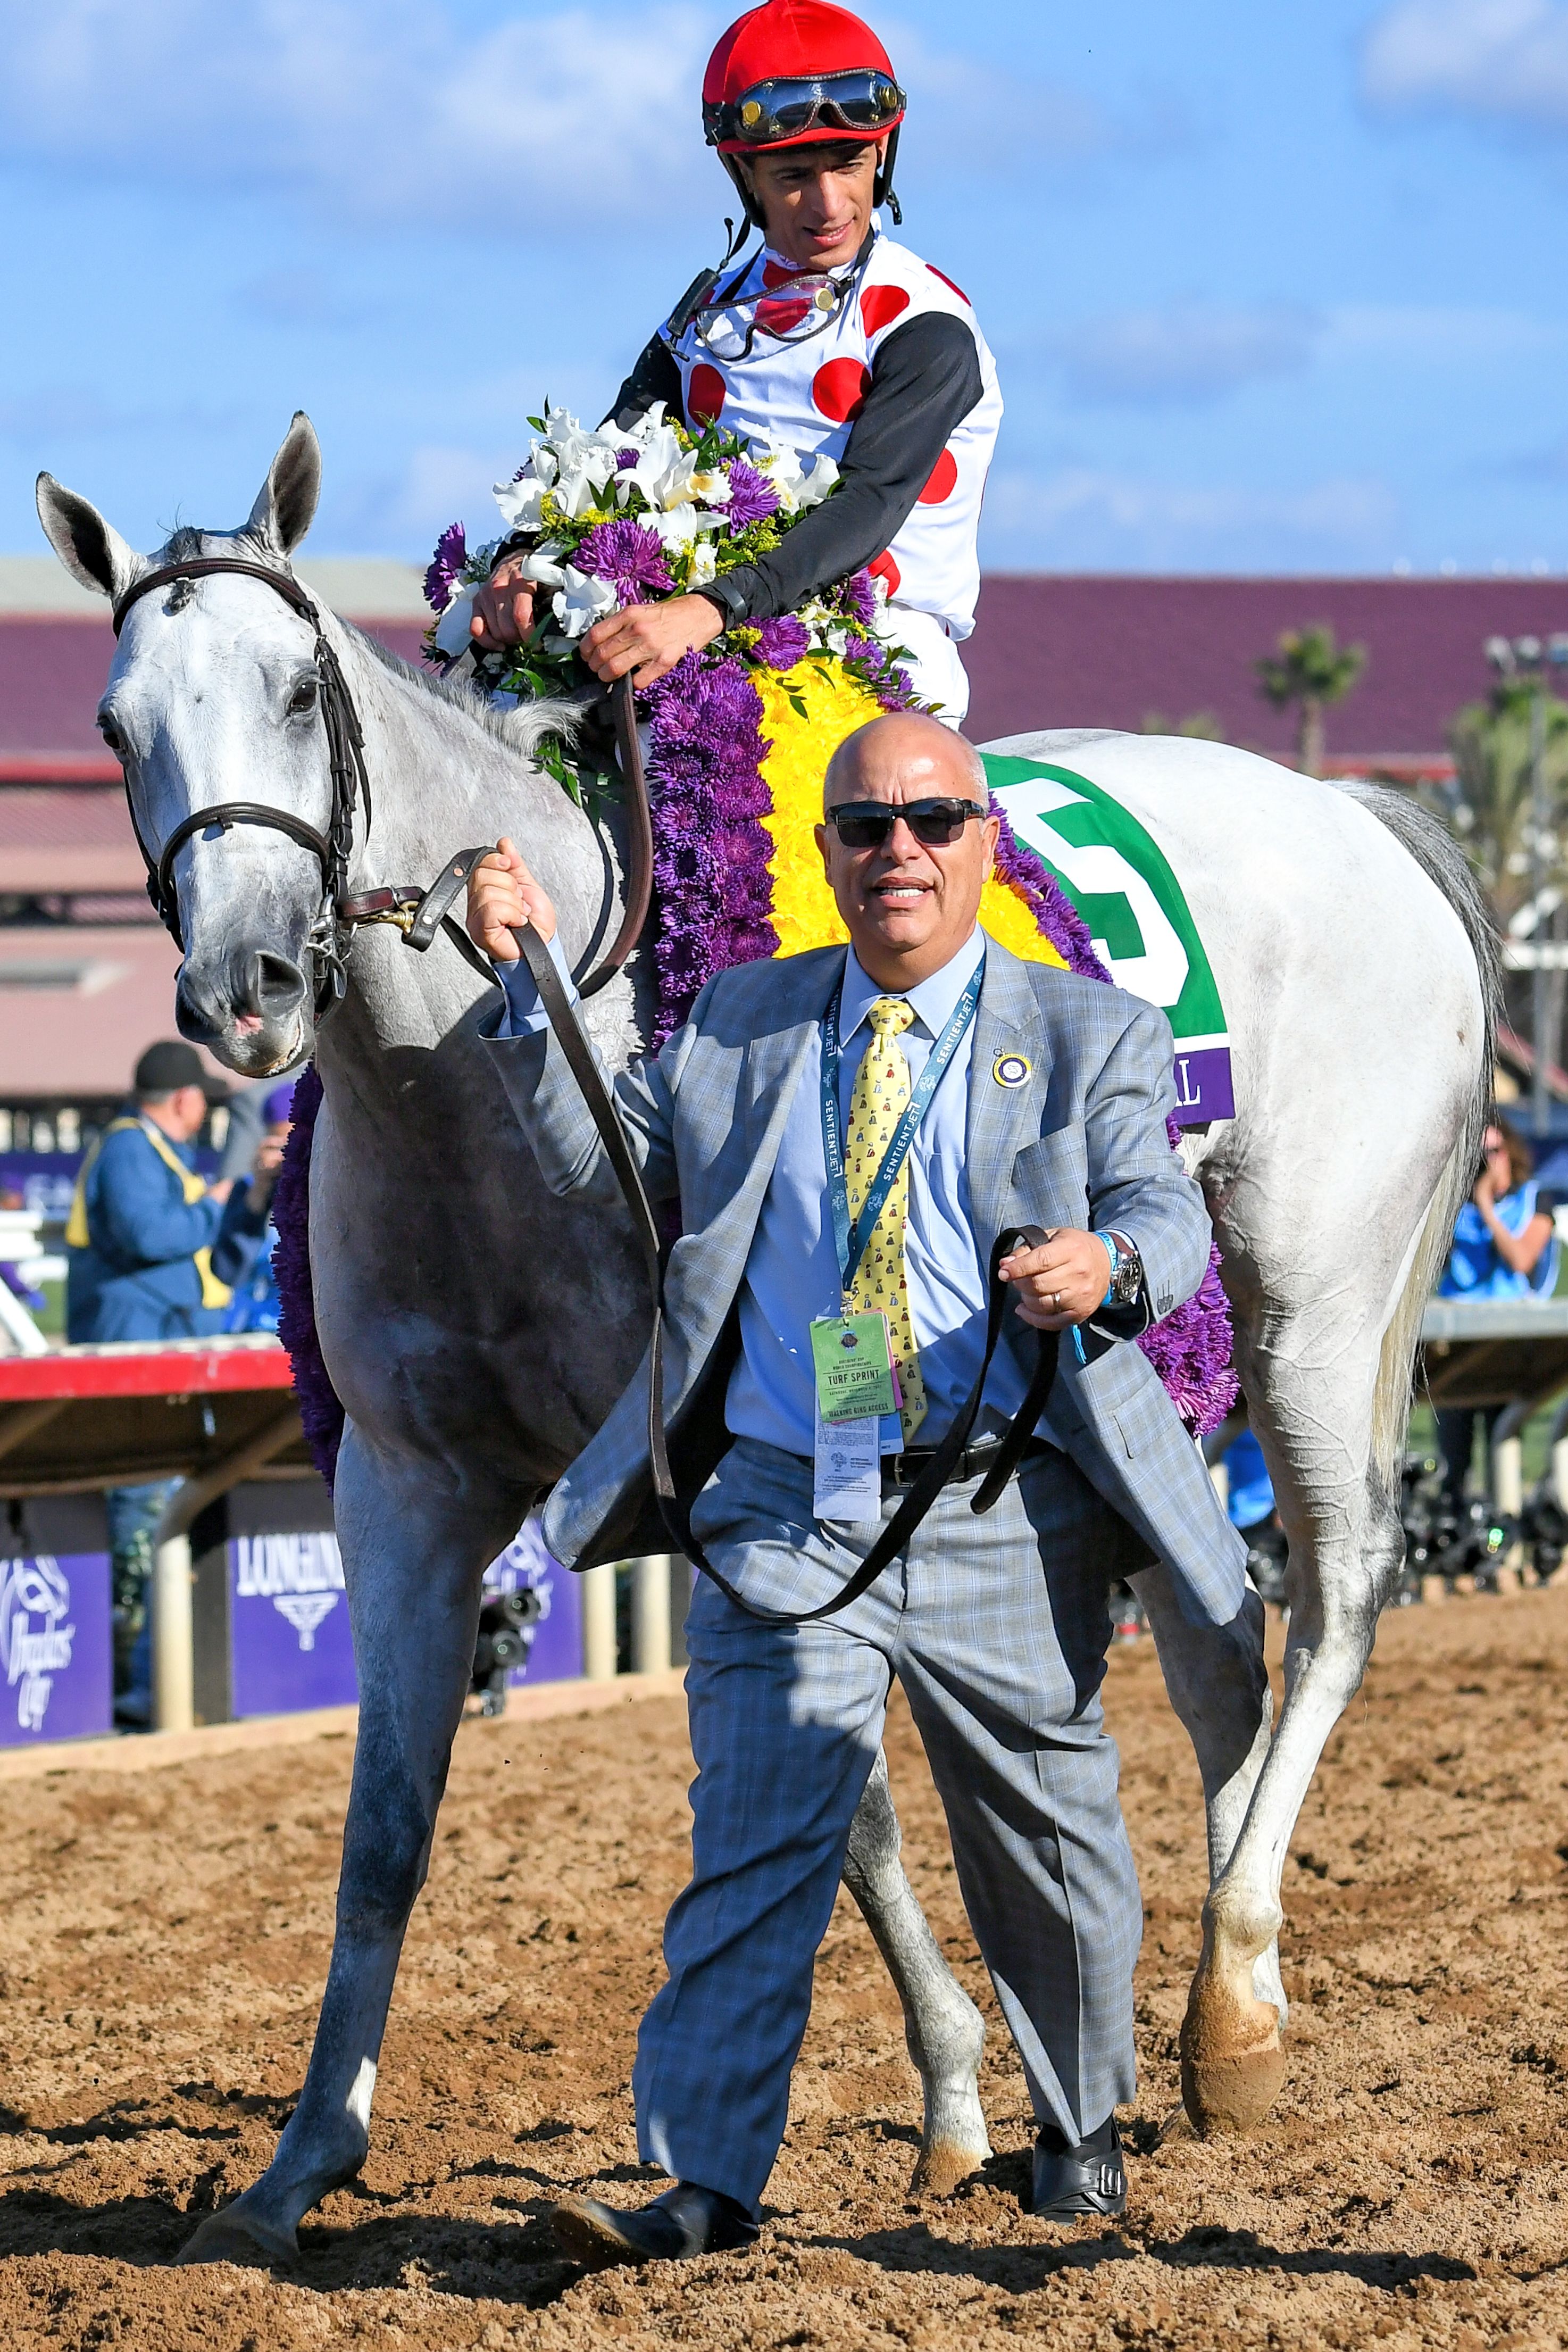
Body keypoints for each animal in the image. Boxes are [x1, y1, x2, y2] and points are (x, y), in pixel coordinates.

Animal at [37, 418, 1495, 2258]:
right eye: (113, 724)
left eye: (300, 688)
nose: (244, 992)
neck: (489, 1089)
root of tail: (1355, 812)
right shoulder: (404, 1491)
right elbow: (385, 1832)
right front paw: (295, 2166)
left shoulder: (728, 1467)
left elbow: (843, 1799)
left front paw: (948, 2098)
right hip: (1147, 1343)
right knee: (1220, 1628)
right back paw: (1229, 2009)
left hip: (1315, 1290)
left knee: (1339, 1591)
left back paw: (1229, 2003)